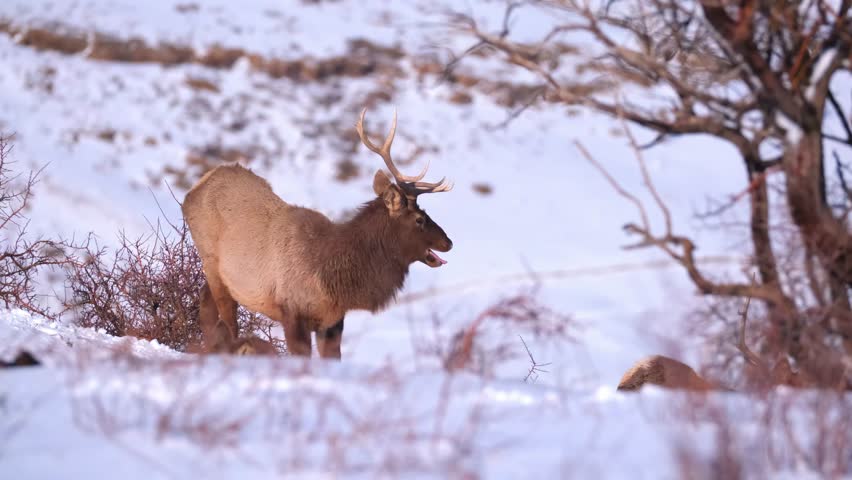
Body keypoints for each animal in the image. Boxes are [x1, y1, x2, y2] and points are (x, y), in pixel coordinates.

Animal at [182, 108, 453, 359]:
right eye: (419, 219)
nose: (448, 242)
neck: (332, 278)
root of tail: (195, 188)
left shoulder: (332, 321)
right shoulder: (292, 312)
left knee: (206, 304)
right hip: (211, 260)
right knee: (227, 319)